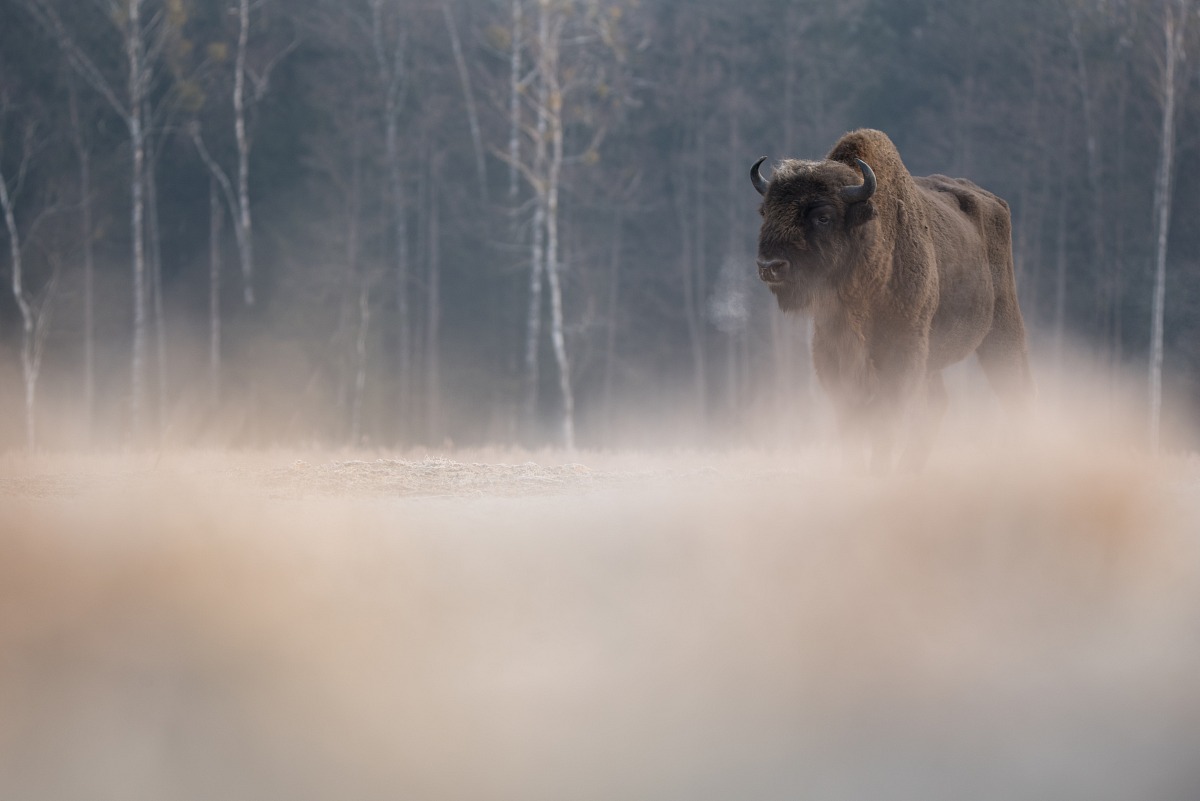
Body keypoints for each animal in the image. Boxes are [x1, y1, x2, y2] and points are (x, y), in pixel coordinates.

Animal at [751, 129, 1033, 470]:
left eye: (823, 216)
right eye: (766, 212)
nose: (770, 266)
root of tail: (996, 203)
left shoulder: (901, 349)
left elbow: (886, 414)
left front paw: (878, 469)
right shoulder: (832, 351)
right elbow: (851, 415)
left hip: (1003, 328)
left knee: (1016, 389)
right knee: (937, 405)